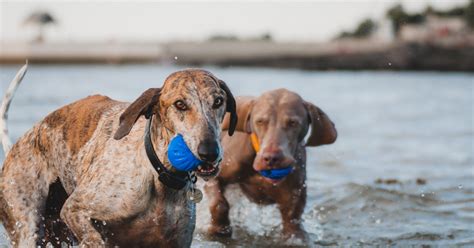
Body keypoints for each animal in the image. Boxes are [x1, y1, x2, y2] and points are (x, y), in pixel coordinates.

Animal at [0, 67, 237, 246]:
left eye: (218, 101)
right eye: (180, 104)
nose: (209, 152)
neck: (159, 177)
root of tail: (16, 146)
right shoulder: (75, 209)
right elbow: (94, 238)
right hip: (27, 226)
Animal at [205, 88, 336, 239]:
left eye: (293, 123)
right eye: (260, 121)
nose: (271, 158)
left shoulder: (292, 205)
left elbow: (293, 229)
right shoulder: (215, 174)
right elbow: (219, 204)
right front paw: (219, 229)